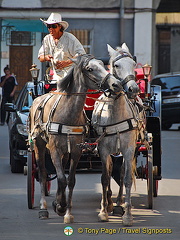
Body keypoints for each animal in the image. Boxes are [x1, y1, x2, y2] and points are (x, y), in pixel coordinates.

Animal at [28, 54, 121, 223]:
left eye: (102, 65)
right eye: (90, 69)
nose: (116, 84)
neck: (68, 113)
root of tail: (37, 99)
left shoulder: (76, 152)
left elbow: (69, 180)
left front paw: (65, 211)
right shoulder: (54, 151)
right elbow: (60, 178)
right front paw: (60, 207)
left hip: (66, 152)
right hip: (39, 145)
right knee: (42, 173)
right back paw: (44, 208)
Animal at [91, 44, 145, 226]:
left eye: (134, 64)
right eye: (116, 65)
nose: (133, 89)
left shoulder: (128, 150)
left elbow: (126, 178)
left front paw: (127, 214)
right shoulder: (103, 150)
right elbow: (104, 178)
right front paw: (103, 211)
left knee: (121, 173)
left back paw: (119, 202)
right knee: (109, 171)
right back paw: (108, 203)